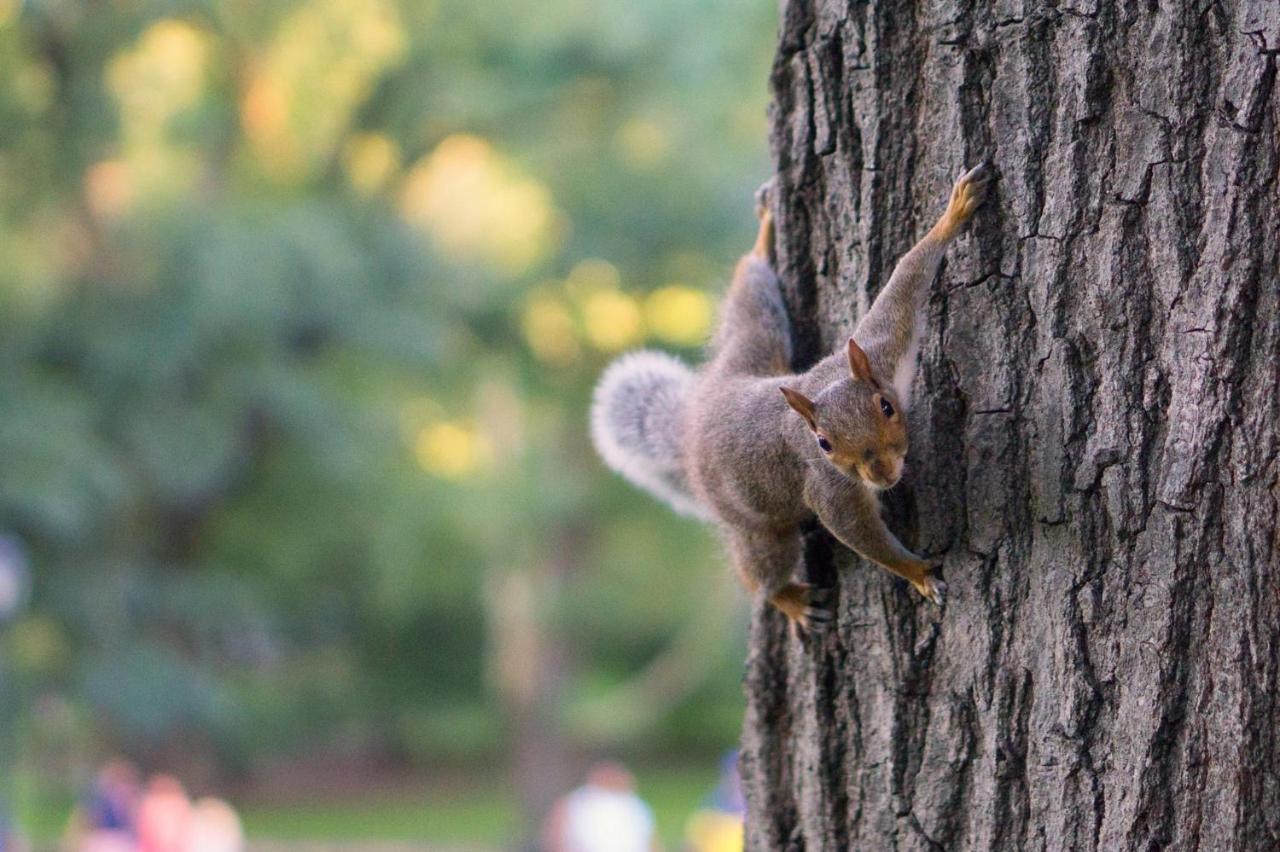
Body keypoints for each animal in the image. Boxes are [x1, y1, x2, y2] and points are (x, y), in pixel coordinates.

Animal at [593, 162, 993, 626]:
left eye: (886, 406)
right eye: (823, 444)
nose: (881, 474)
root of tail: (695, 421)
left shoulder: (881, 347)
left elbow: (907, 279)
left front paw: (955, 212)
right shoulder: (830, 488)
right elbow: (861, 536)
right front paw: (918, 574)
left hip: (754, 341)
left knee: (749, 295)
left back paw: (763, 238)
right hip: (756, 525)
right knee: (759, 572)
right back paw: (790, 600)